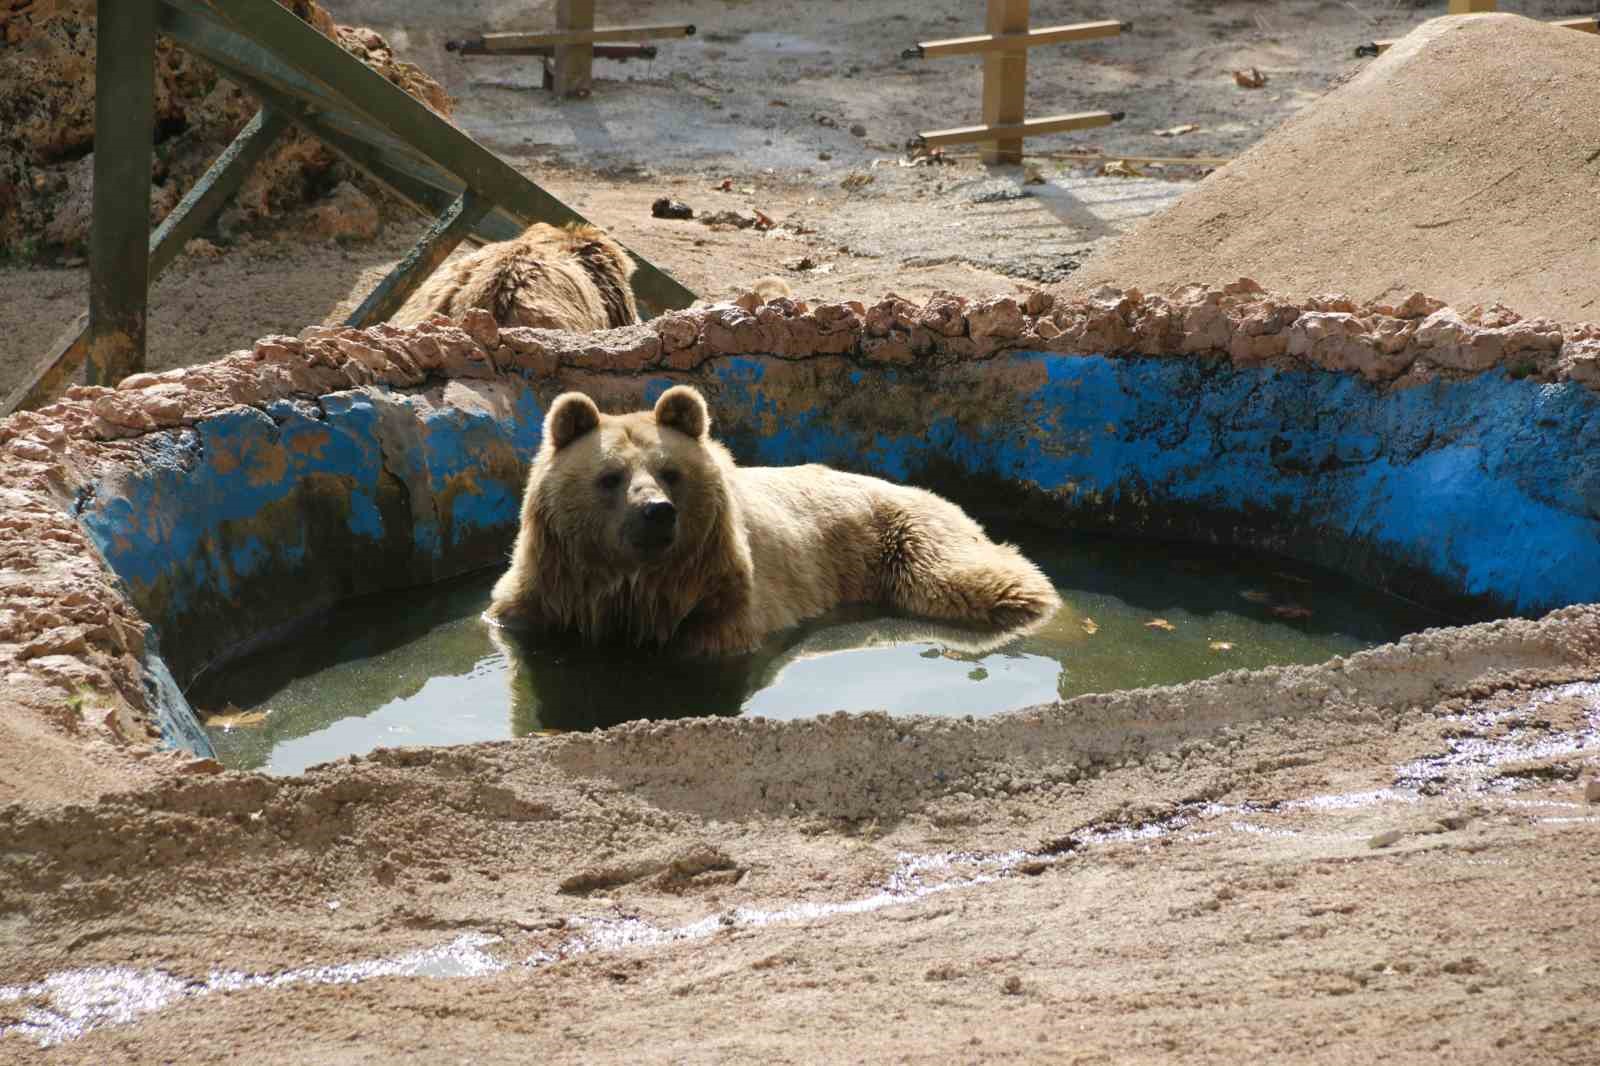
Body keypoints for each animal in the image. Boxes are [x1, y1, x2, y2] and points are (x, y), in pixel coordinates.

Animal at [486, 385, 1062, 653]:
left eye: (670, 472)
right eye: (610, 477)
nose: (656, 513)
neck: (630, 590)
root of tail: (945, 498)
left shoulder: (723, 605)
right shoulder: (545, 596)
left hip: (907, 539)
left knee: (978, 580)